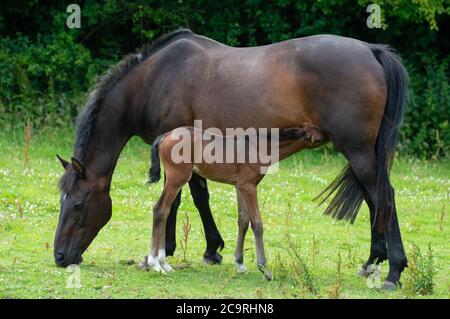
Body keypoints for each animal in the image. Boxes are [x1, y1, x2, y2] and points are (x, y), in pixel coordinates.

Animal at [144, 125, 324, 280]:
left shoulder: (240, 187)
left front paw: (240, 264)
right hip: (177, 178)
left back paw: (164, 264)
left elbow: (243, 220)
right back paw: (155, 264)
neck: (258, 148)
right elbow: (257, 223)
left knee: (166, 210)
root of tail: (165, 136)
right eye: (319, 133)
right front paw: (265, 269)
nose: (328, 134)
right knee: (160, 209)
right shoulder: (249, 187)